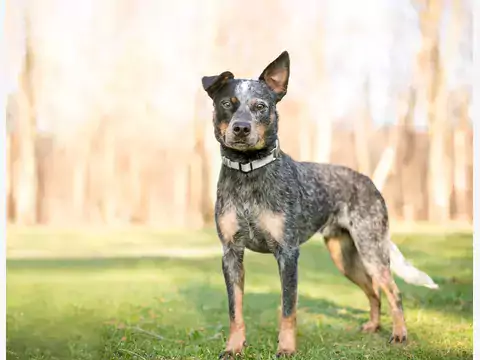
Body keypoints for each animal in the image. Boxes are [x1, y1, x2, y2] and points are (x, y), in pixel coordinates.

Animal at [201, 50, 436, 358]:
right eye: (227, 103)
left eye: (260, 106)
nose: (241, 128)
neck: (248, 172)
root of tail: (369, 182)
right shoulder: (231, 253)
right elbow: (235, 310)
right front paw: (234, 347)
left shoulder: (287, 253)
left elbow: (288, 309)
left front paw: (287, 348)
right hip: (343, 256)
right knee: (373, 291)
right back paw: (373, 326)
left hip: (371, 250)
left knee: (392, 291)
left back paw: (399, 334)